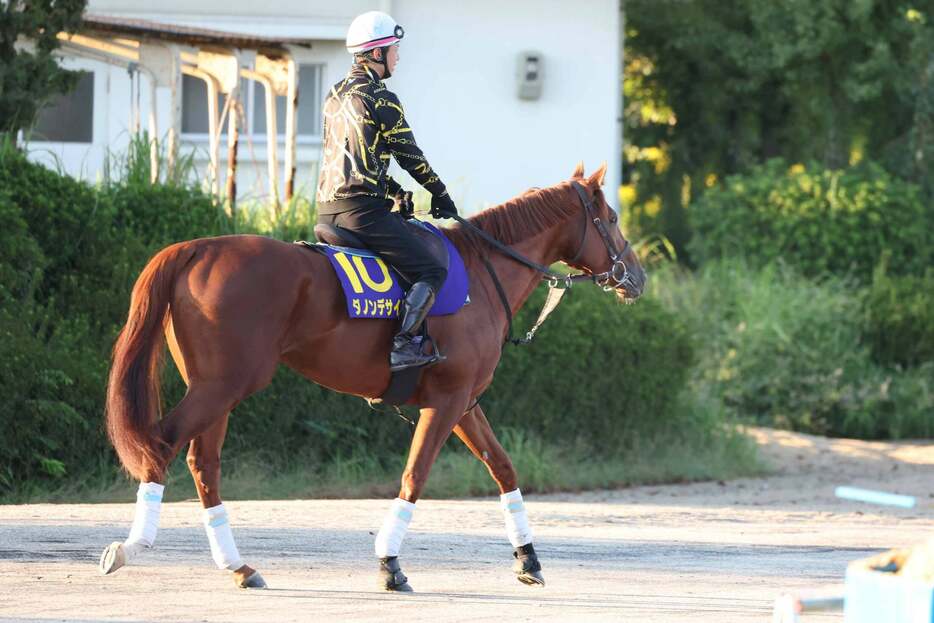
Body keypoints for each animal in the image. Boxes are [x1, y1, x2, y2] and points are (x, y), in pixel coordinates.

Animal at [100, 163, 644, 592]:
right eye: (613, 219)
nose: (636, 278)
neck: (482, 273)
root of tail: (199, 247)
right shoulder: (446, 403)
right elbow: (414, 476)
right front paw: (389, 563)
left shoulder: (465, 403)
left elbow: (503, 468)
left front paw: (528, 558)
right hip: (222, 386)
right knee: (162, 446)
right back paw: (132, 546)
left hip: (217, 388)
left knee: (203, 464)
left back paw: (238, 566)